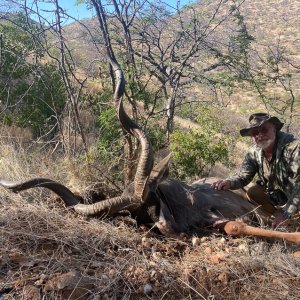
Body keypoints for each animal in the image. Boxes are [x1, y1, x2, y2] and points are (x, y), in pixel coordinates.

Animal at [0, 59, 300, 245]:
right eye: (142, 214)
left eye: (154, 199)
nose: (175, 232)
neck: (184, 203)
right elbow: (233, 225)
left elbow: (244, 223)